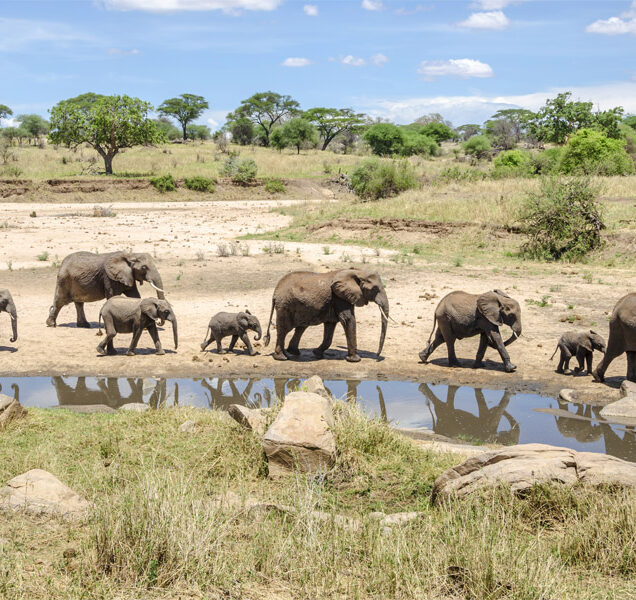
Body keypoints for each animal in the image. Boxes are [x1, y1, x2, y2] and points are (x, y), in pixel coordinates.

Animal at [262, 270, 390, 364]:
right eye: (375, 289)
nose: (377, 355)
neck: (358, 271)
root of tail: (275, 292)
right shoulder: (339, 297)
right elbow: (348, 320)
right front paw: (355, 360)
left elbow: (331, 325)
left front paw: (317, 353)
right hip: (285, 306)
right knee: (284, 330)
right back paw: (282, 357)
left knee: (300, 327)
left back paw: (293, 352)